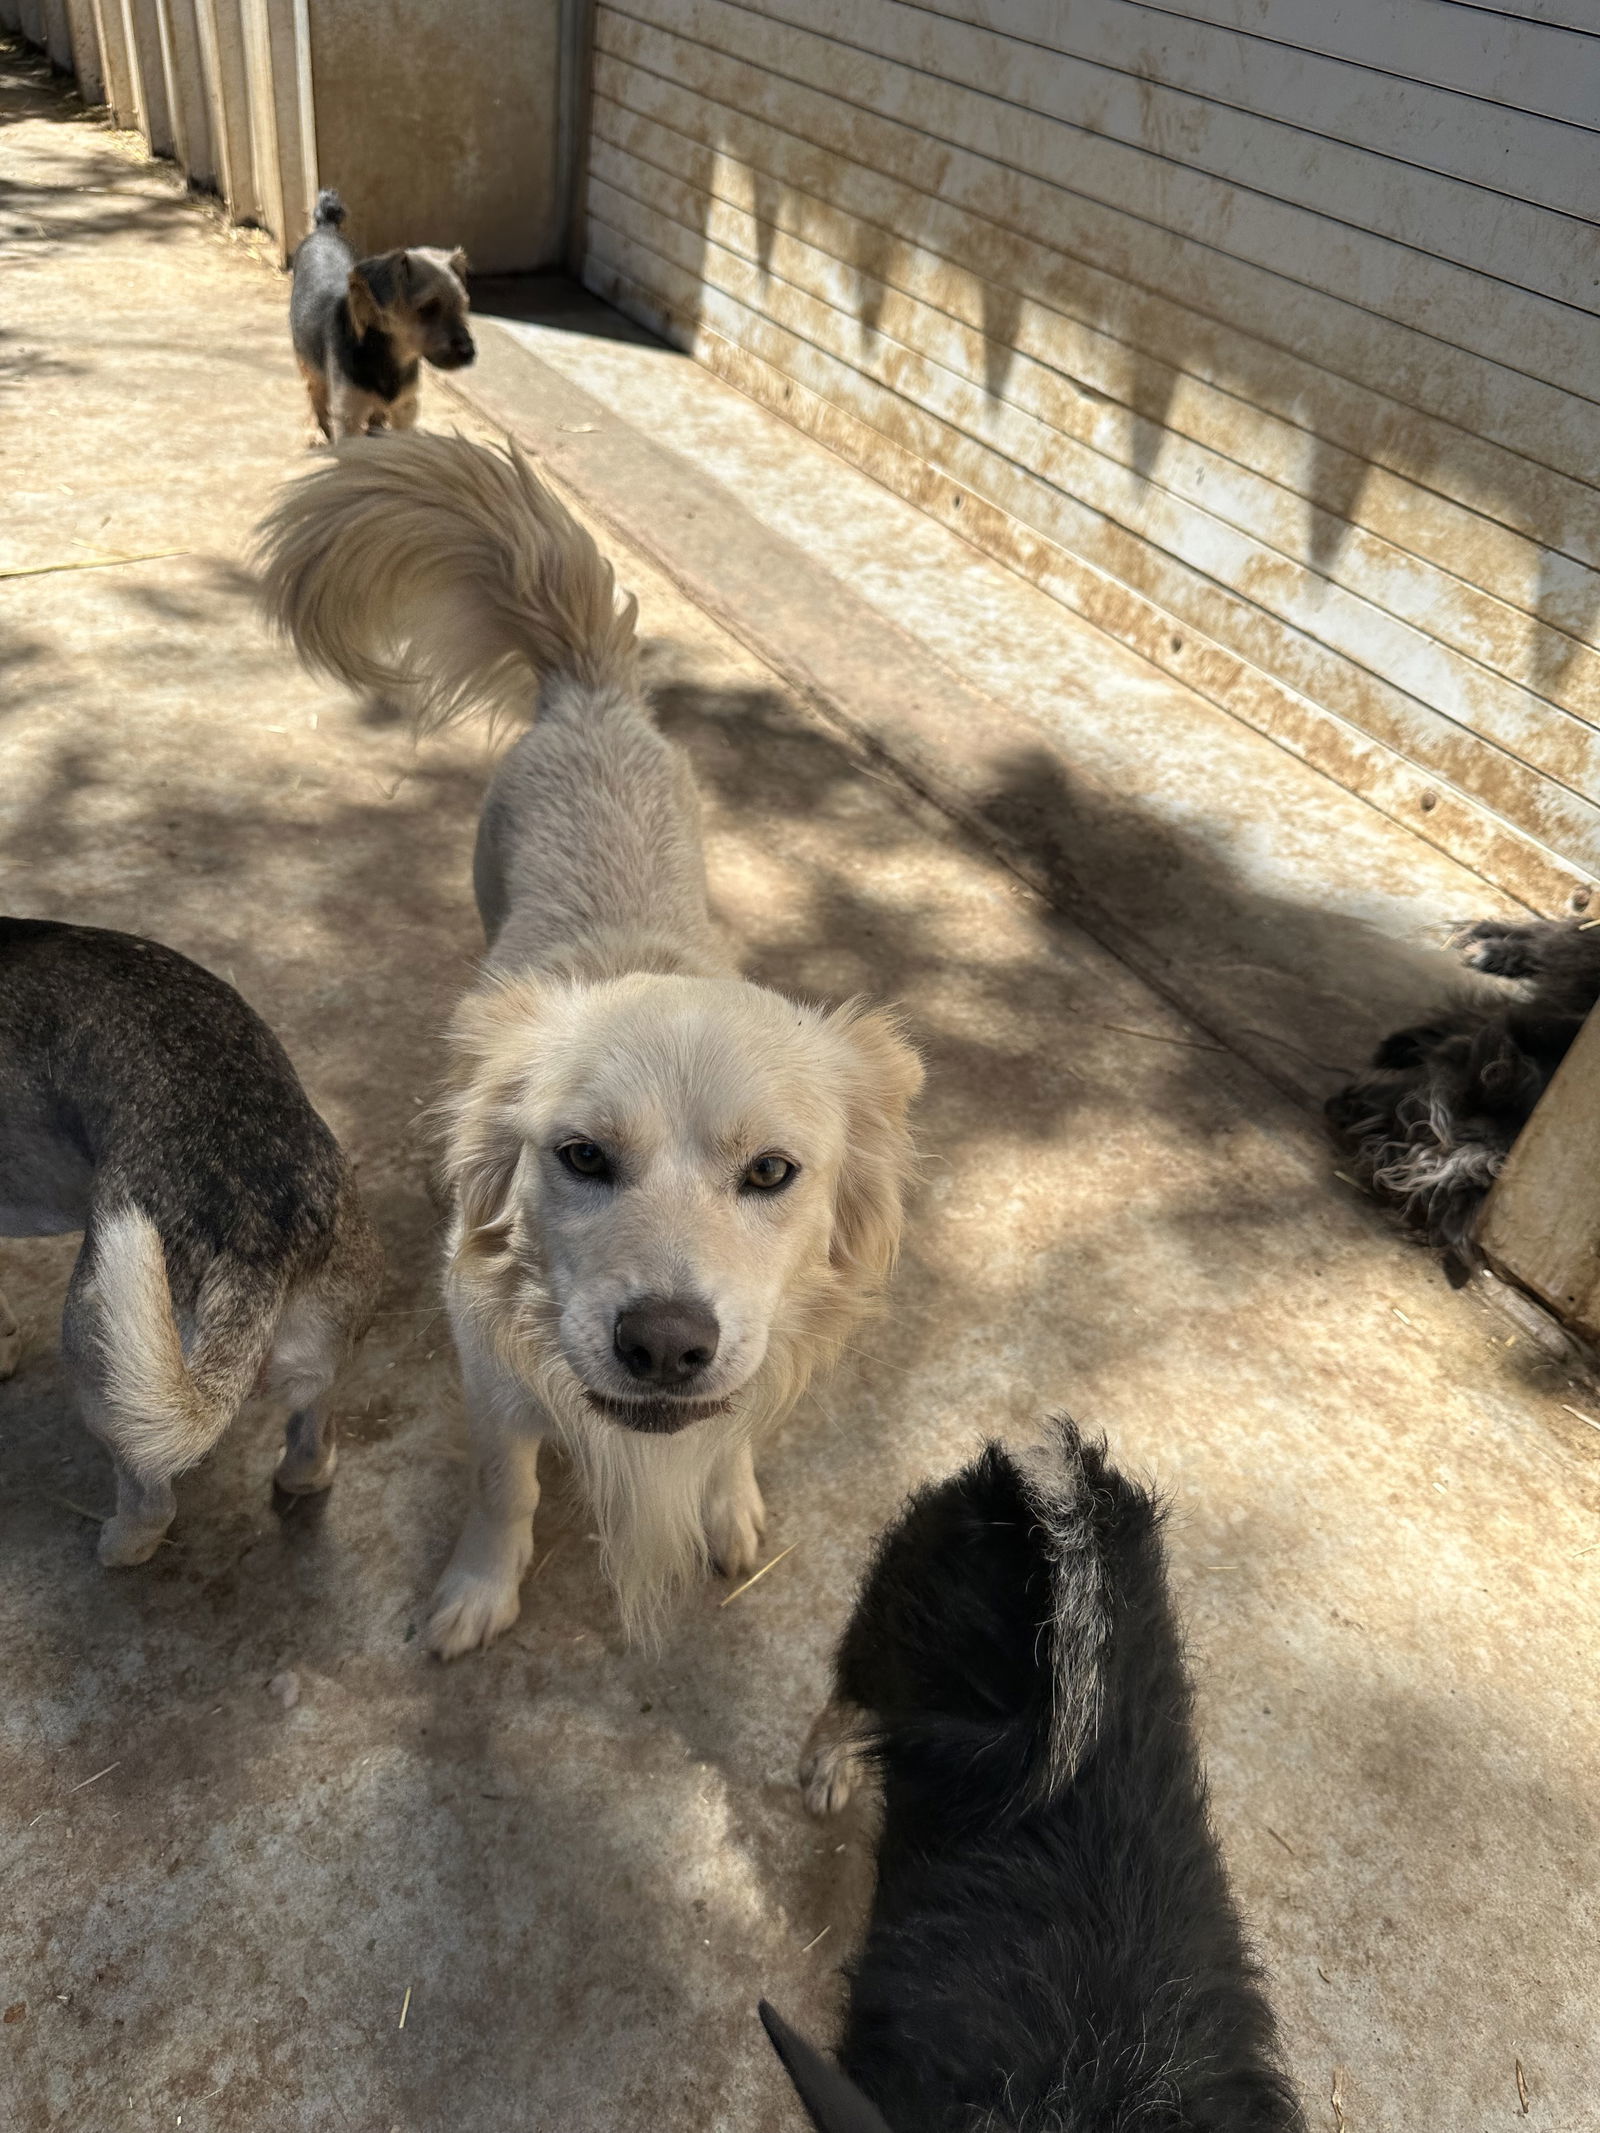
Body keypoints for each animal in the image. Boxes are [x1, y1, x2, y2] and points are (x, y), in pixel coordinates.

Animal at [0, 917, 381, 1569]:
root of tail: (257, 1235)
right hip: (334, 1351)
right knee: (310, 1441)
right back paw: (307, 1473)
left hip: (107, 1376)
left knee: (152, 1502)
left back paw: (116, 1547)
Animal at [254, 432, 921, 1646]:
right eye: (580, 1156)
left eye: (772, 1173)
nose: (664, 1345)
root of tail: (592, 694)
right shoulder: (492, 1380)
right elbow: (503, 1485)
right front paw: (478, 1588)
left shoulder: (759, 1355)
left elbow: (734, 1435)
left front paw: (729, 1504)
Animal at [1331, 917, 1600, 1279]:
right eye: (1412, 1109)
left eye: (1394, 1128)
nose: (1338, 1105)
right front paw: (1402, 1045)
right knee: (1553, 935)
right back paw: (1488, 942)